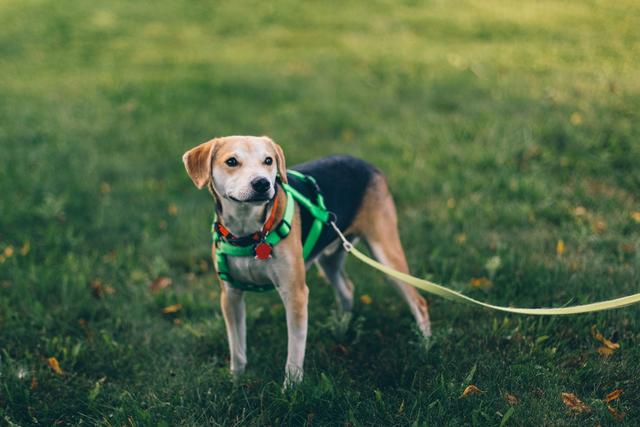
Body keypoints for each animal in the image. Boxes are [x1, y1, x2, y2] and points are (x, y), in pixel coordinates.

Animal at [181, 136, 430, 388]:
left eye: (268, 161)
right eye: (231, 161)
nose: (262, 183)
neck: (250, 233)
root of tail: (366, 164)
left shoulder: (295, 293)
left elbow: (294, 351)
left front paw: (291, 389)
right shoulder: (230, 295)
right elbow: (237, 347)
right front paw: (235, 381)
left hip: (386, 253)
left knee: (419, 301)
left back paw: (425, 345)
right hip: (330, 259)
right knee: (347, 289)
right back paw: (342, 326)